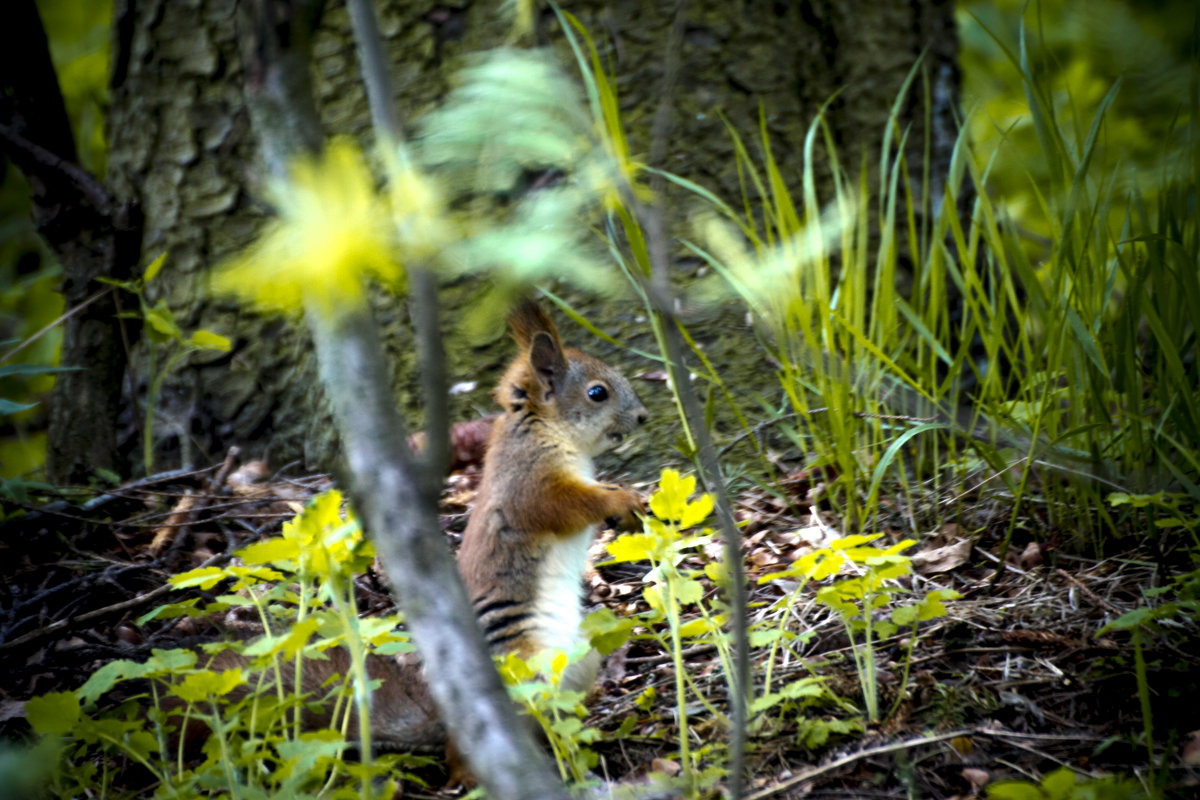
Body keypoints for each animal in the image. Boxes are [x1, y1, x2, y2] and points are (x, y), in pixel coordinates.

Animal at [199, 298, 648, 758]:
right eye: (598, 393)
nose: (643, 417)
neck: (546, 429)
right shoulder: (528, 482)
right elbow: (562, 506)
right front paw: (621, 500)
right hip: (523, 666)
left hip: (579, 659)